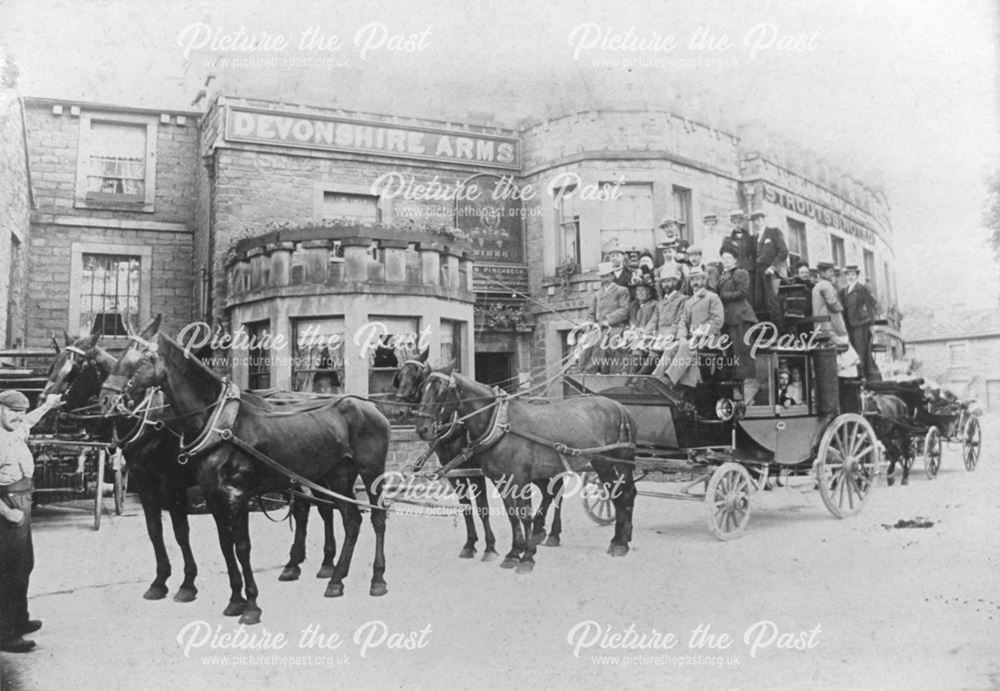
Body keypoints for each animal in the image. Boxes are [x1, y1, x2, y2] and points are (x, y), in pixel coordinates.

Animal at [95, 324, 388, 628]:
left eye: (138, 360)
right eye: (115, 360)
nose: (106, 399)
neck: (219, 423)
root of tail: (371, 407)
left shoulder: (229, 494)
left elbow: (238, 545)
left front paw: (249, 605)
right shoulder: (207, 495)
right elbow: (222, 544)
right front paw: (234, 600)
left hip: (370, 472)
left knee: (376, 517)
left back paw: (376, 579)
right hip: (336, 474)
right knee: (349, 519)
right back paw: (335, 578)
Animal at [416, 368, 640, 572]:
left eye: (440, 391)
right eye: (422, 388)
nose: (422, 429)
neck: (499, 423)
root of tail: (620, 407)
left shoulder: (519, 479)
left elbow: (523, 514)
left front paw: (527, 557)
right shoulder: (498, 479)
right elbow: (510, 514)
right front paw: (514, 552)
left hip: (609, 461)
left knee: (622, 495)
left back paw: (620, 543)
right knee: (617, 495)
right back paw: (617, 538)